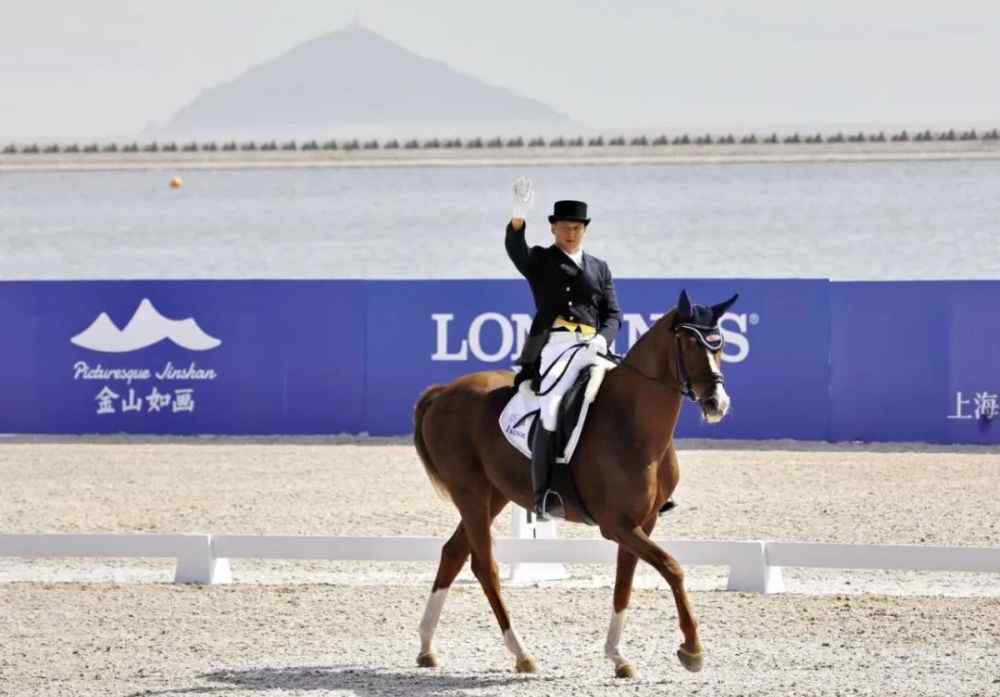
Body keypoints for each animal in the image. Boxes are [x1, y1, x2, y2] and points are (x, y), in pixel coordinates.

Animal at [412, 290, 736, 676]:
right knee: (484, 566)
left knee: (453, 553)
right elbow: (672, 568)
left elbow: (624, 585)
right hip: (470, 492)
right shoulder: (617, 526)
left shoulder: (642, 523)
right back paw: (521, 653)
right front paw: (692, 649)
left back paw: (427, 647)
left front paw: (617, 657)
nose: (717, 403)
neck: (633, 423)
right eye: (688, 342)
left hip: (494, 496)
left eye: (720, 344)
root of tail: (445, 391)